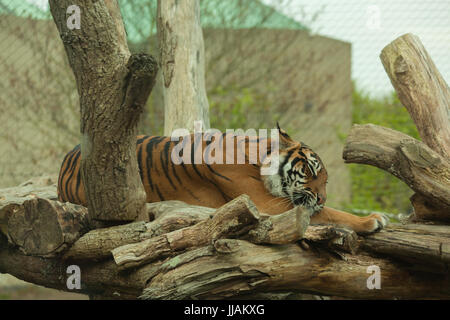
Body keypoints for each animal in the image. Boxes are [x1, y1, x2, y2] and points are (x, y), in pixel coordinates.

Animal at [56, 125, 386, 235]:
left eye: (327, 181)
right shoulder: (267, 205)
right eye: (313, 173)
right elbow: (330, 213)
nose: (322, 196)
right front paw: (372, 219)